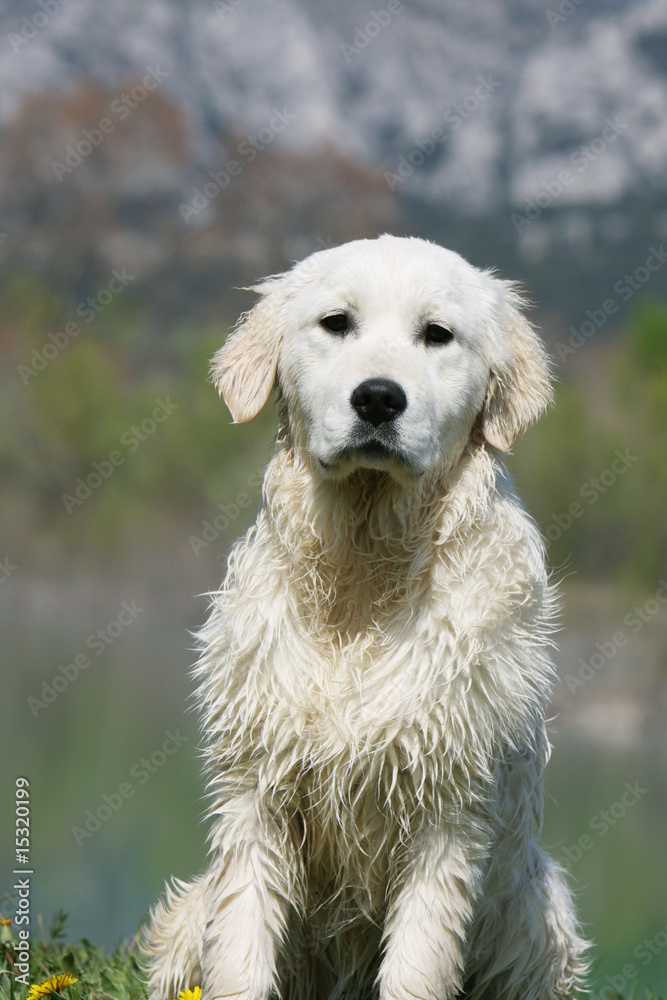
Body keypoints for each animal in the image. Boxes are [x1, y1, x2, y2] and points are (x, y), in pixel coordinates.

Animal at [144, 236, 588, 1000]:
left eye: (436, 334)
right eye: (336, 323)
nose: (378, 397)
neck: (362, 567)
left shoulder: (449, 811)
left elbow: (415, 967)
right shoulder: (255, 796)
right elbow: (240, 952)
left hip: (539, 916)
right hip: (187, 918)